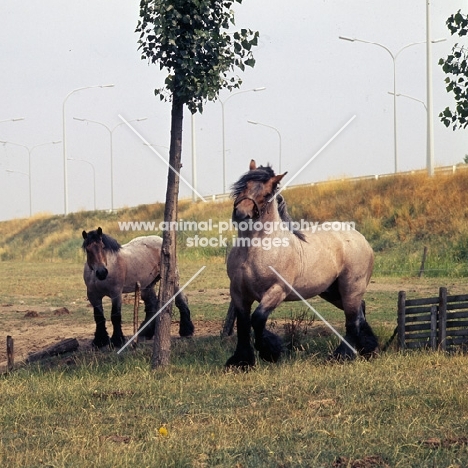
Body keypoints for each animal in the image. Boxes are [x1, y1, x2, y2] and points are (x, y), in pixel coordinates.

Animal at [225, 161, 378, 370]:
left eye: (267, 193)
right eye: (244, 185)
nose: (241, 214)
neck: (256, 249)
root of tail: (360, 238)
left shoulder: (277, 290)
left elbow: (257, 319)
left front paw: (270, 352)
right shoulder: (238, 293)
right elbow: (243, 325)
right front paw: (241, 361)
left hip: (351, 288)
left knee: (352, 320)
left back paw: (341, 356)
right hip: (332, 292)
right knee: (360, 311)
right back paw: (367, 349)